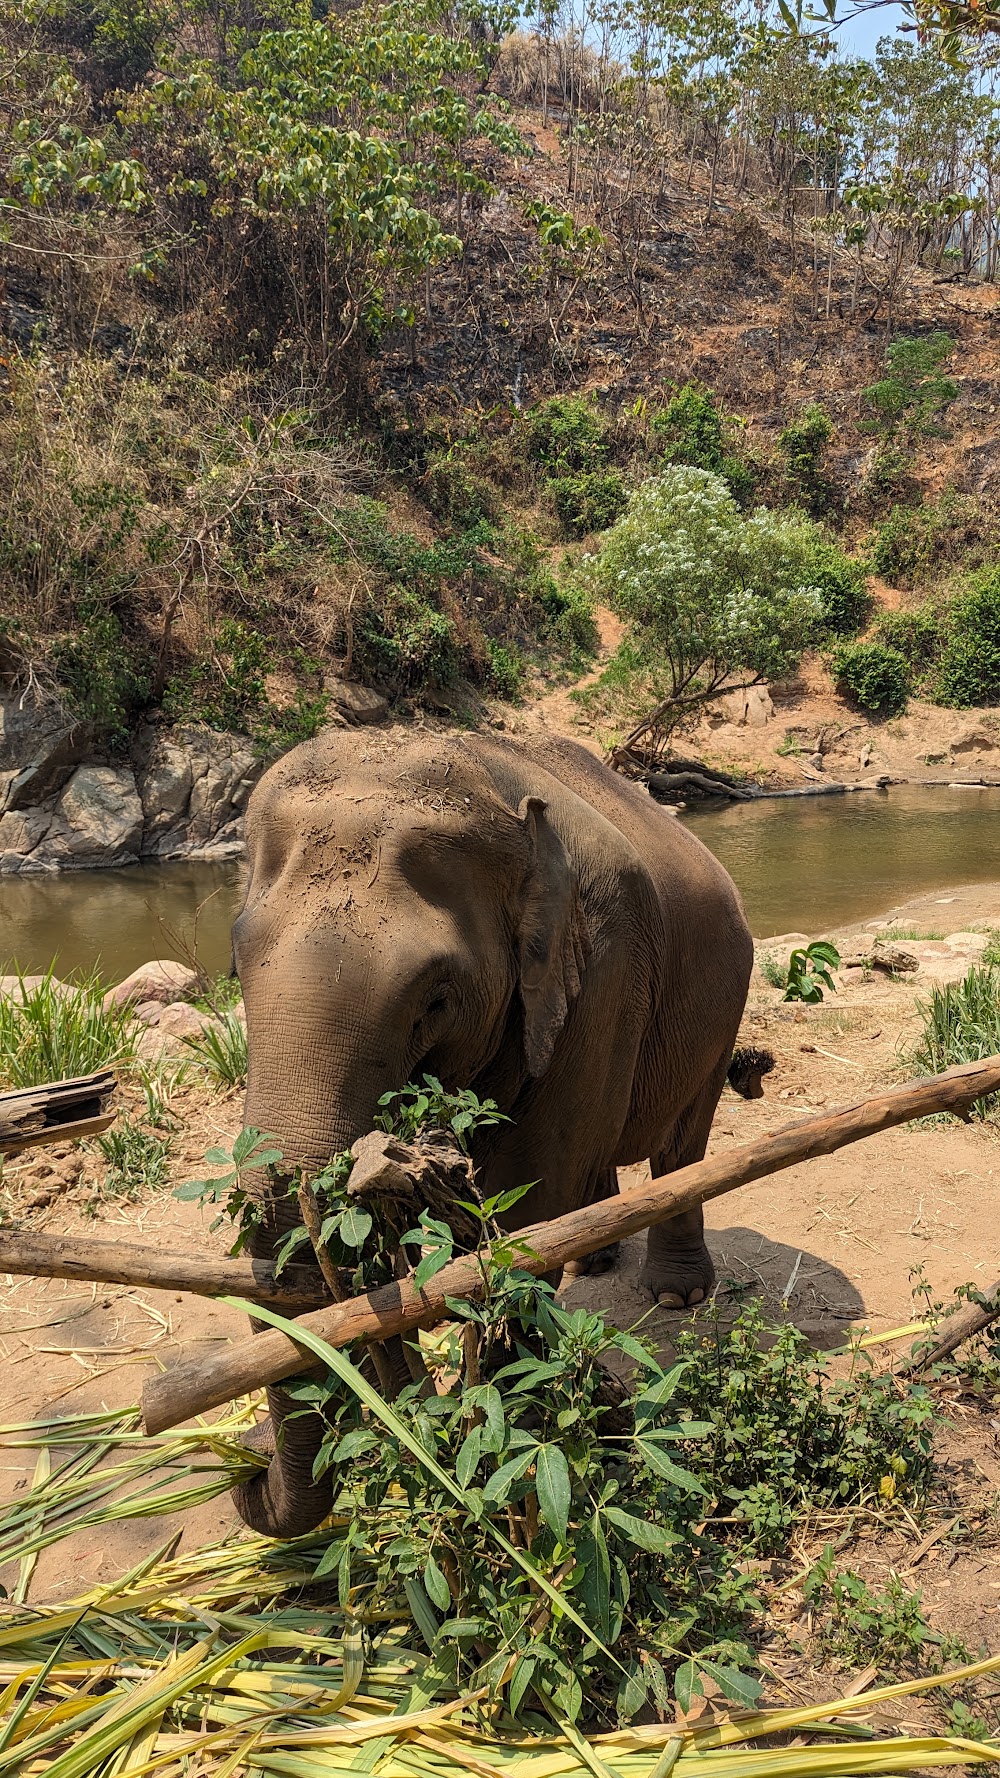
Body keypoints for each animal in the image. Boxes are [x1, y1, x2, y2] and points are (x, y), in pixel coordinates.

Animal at [227, 728, 747, 1536]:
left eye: (435, 1001)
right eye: (234, 962)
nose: (243, 1470)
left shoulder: (606, 971)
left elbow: (526, 1206)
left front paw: (510, 1437)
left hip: (719, 1008)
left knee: (681, 1145)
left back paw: (677, 1296)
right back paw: (594, 1262)